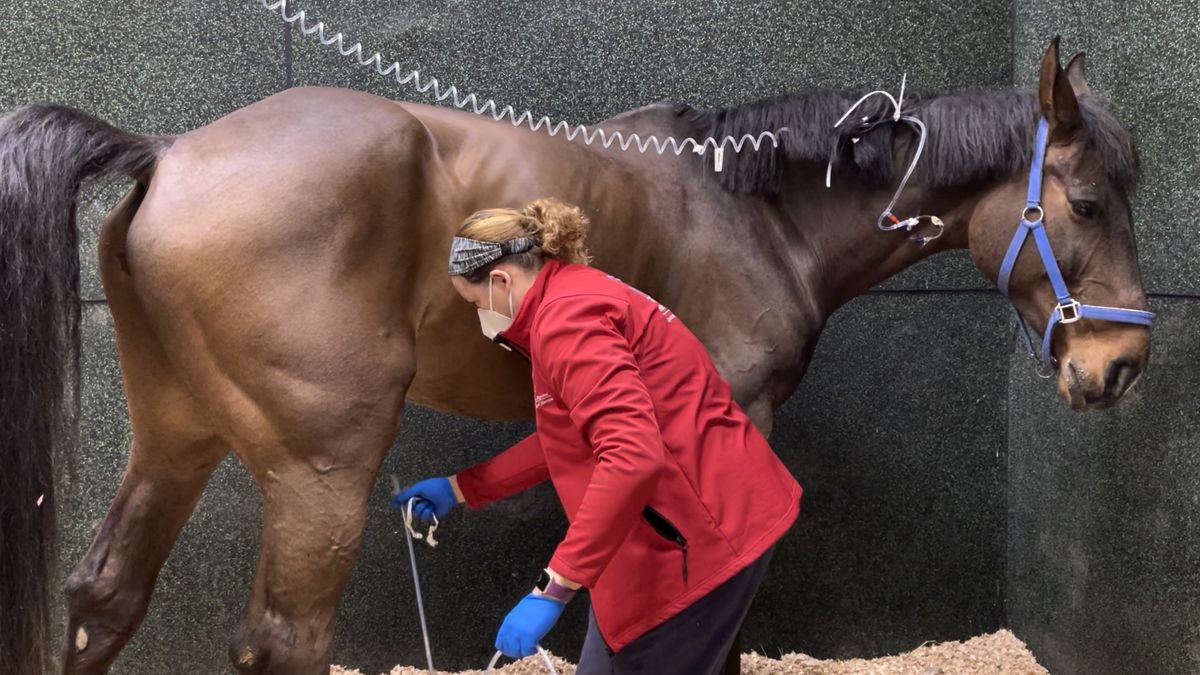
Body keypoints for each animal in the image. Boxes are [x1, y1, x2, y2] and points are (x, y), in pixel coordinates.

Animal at [2, 36, 1152, 672]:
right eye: (1090, 203)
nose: (1122, 367)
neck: (752, 210)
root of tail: (168, 154)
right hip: (318, 471)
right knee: (284, 643)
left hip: (176, 437)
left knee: (104, 599)